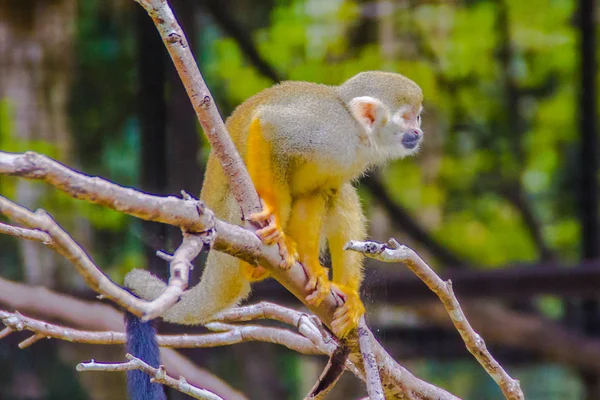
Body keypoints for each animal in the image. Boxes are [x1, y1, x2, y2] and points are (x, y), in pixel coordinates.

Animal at [125, 69, 424, 338]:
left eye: (418, 117)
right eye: (407, 118)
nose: (418, 132)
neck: (356, 132)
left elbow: (317, 191)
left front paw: (311, 266)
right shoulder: (327, 129)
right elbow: (269, 126)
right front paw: (275, 224)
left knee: (337, 193)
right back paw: (254, 263)